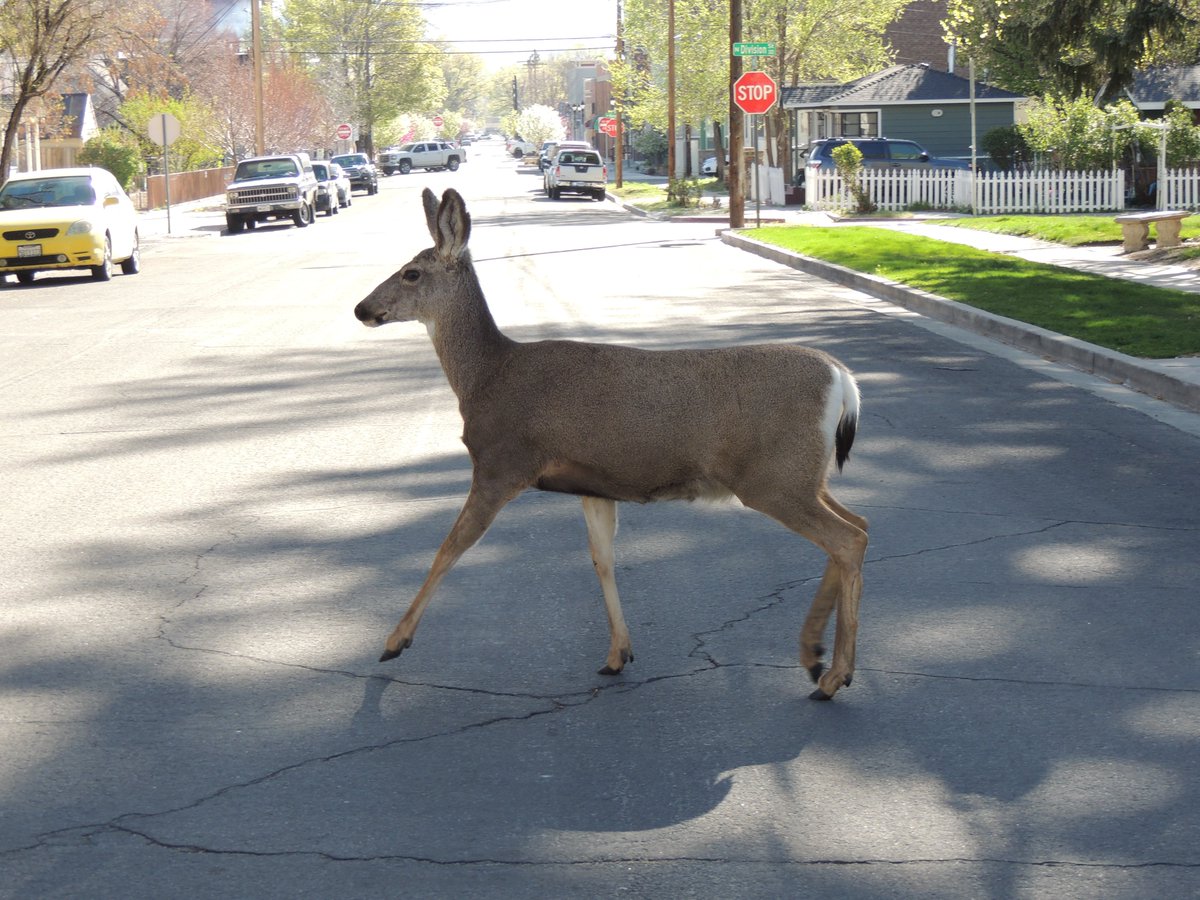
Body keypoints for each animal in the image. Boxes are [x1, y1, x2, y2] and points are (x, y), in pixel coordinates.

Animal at [353, 188, 868, 701]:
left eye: (411, 272)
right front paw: (618, 654)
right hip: (804, 474)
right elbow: (603, 559)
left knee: (848, 538)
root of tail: (843, 379)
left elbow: (450, 547)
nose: (361, 309)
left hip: (773, 479)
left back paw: (833, 675)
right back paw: (815, 657)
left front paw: (394, 642)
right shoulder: (593, 484)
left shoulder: (502, 463)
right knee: (857, 525)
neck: (487, 377)